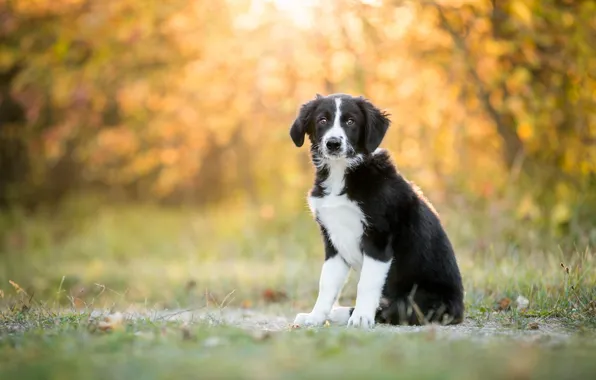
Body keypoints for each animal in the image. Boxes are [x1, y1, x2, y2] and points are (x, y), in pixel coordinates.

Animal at [288, 93, 466, 326]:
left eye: (351, 121)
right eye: (322, 120)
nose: (333, 143)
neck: (341, 174)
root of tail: (460, 310)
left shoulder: (378, 238)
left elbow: (366, 283)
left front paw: (362, 317)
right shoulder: (333, 240)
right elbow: (326, 283)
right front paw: (315, 317)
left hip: (422, 301)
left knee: (394, 309)